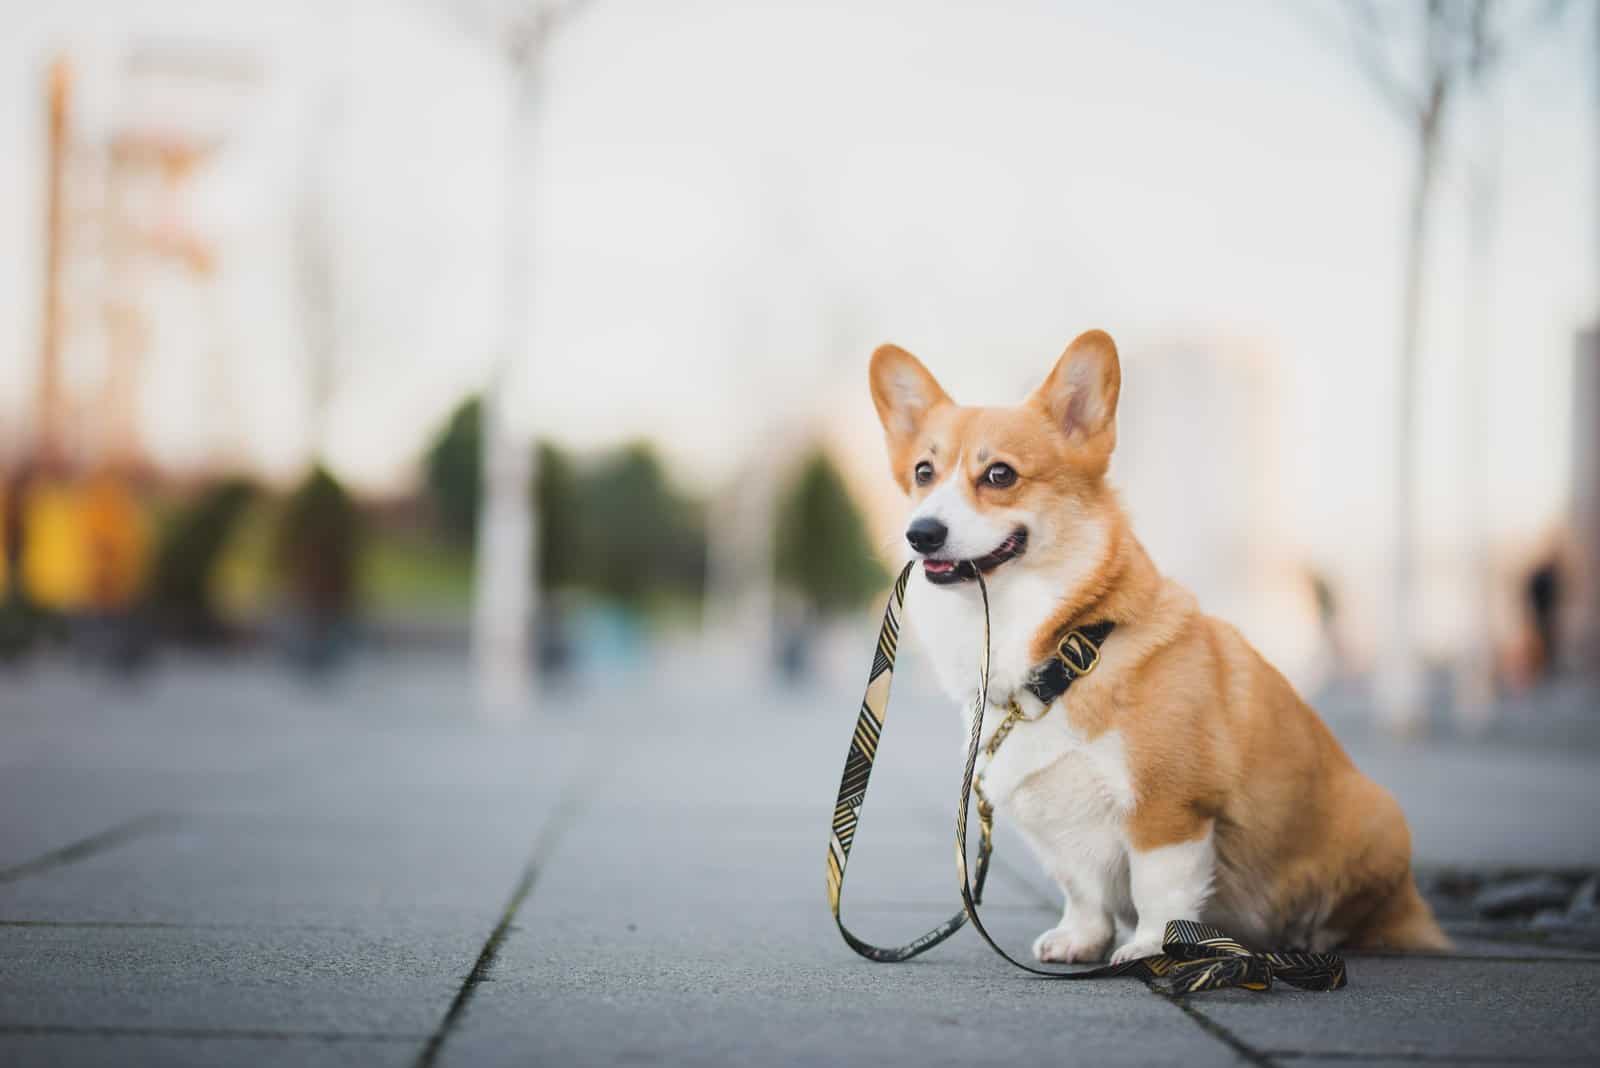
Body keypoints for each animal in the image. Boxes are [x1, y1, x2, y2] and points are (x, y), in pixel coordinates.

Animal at [876, 330, 1452, 959]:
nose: (920, 533)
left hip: (1379, 820)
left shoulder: (1168, 810)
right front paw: (1080, 941)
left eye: (1000, 475)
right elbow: (1082, 890)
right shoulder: (1059, 827)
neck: (1065, 656)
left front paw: (1154, 948)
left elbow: (1159, 888)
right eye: (924, 472)